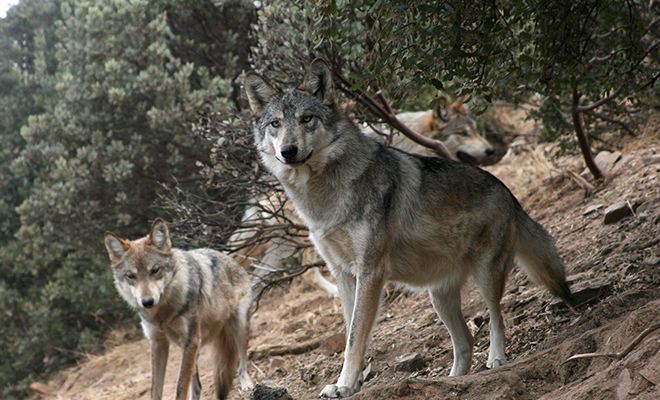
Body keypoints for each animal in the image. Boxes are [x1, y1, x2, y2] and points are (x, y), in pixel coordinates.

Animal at [104, 219, 254, 400]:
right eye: (131, 276)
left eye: (155, 270)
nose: (147, 301)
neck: (162, 315)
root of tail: (231, 259)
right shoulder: (158, 343)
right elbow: (156, 389)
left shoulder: (190, 340)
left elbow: (180, 387)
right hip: (193, 347)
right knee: (197, 386)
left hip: (238, 328)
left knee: (242, 362)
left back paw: (247, 386)